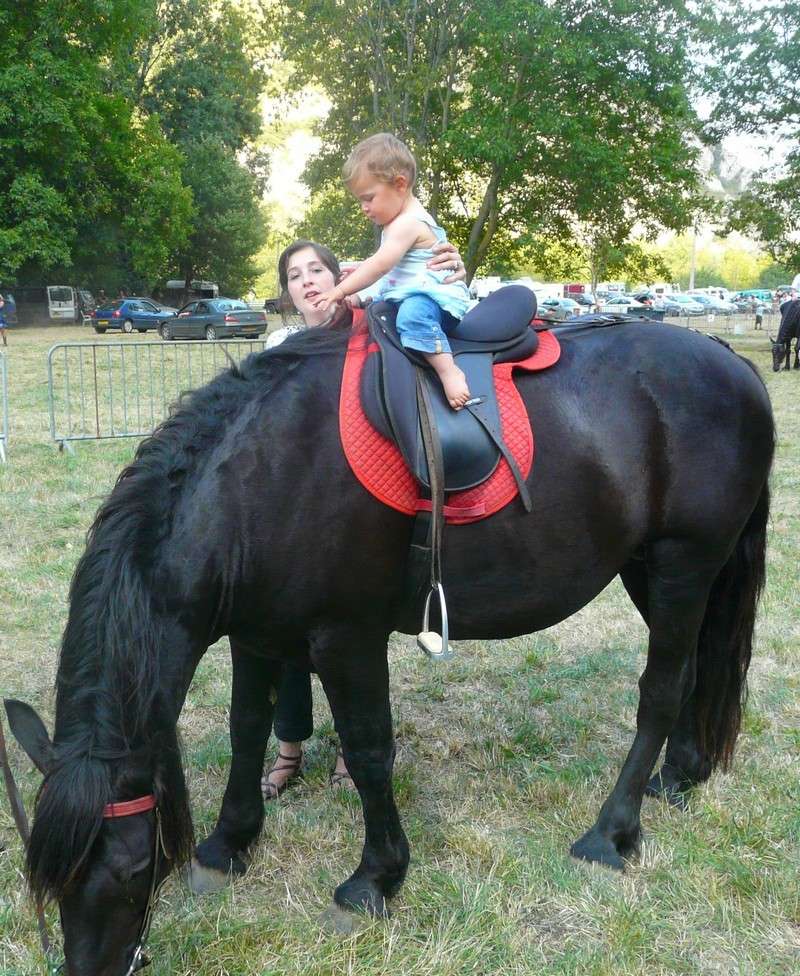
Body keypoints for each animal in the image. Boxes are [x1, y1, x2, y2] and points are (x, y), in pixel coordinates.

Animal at [6, 314, 776, 976]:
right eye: (44, 874)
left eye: (135, 869)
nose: (96, 968)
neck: (260, 478)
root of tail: (731, 360)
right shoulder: (256, 636)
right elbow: (247, 730)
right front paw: (229, 844)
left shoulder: (346, 638)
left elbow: (370, 751)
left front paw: (375, 879)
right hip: (653, 570)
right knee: (697, 670)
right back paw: (679, 776)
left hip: (682, 564)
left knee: (662, 690)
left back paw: (612, 833)